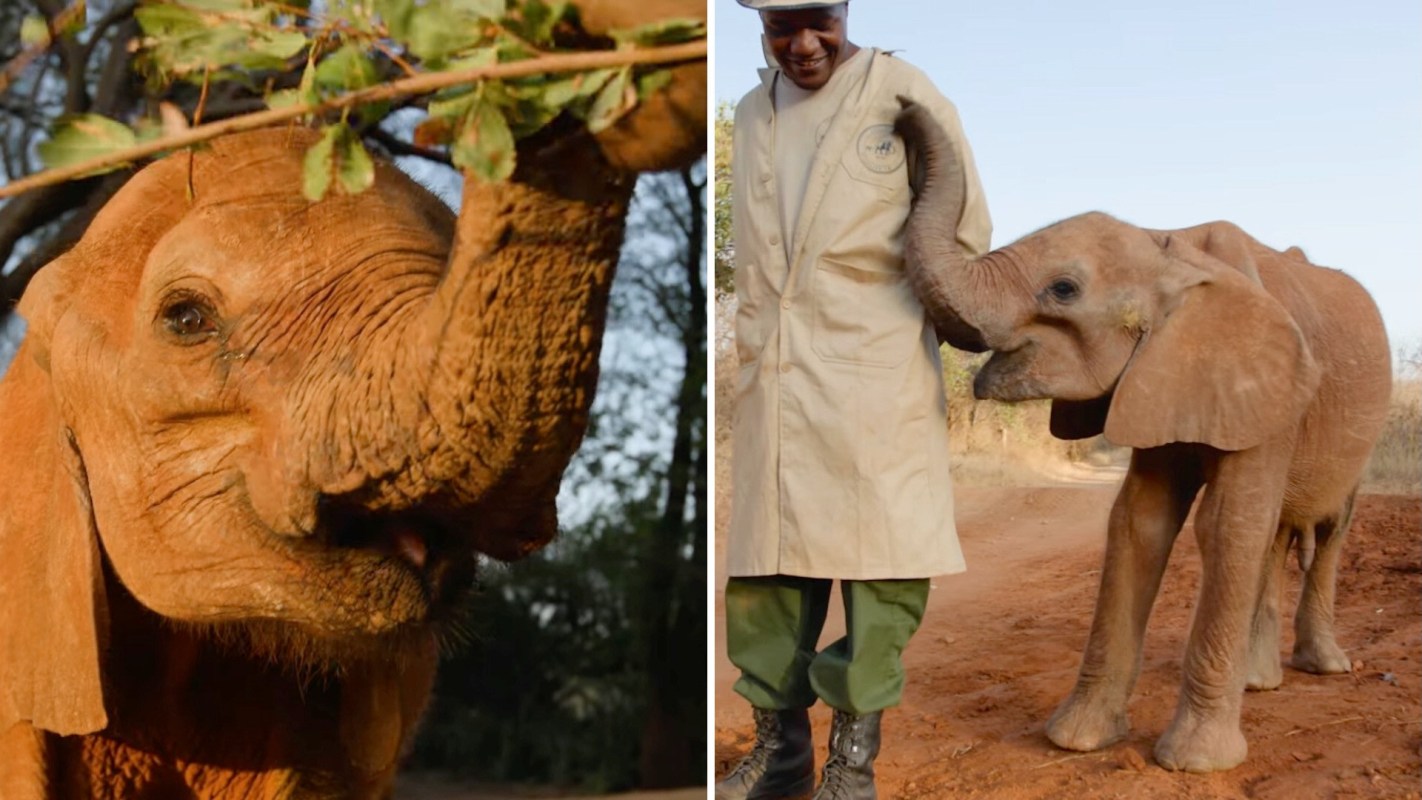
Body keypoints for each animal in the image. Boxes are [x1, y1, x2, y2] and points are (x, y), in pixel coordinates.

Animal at [893, 98, 1392, 773]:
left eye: (1064, 289)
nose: (899, 111)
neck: (1172, 251)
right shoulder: (1162, 375)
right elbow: (1140, 521)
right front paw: (1076, 740)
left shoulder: (1271, 388)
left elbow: (1227, 524)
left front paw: (1196, 763)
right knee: (1273, 537)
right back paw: (1258, 683)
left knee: (1326, 527)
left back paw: (1325, 669)